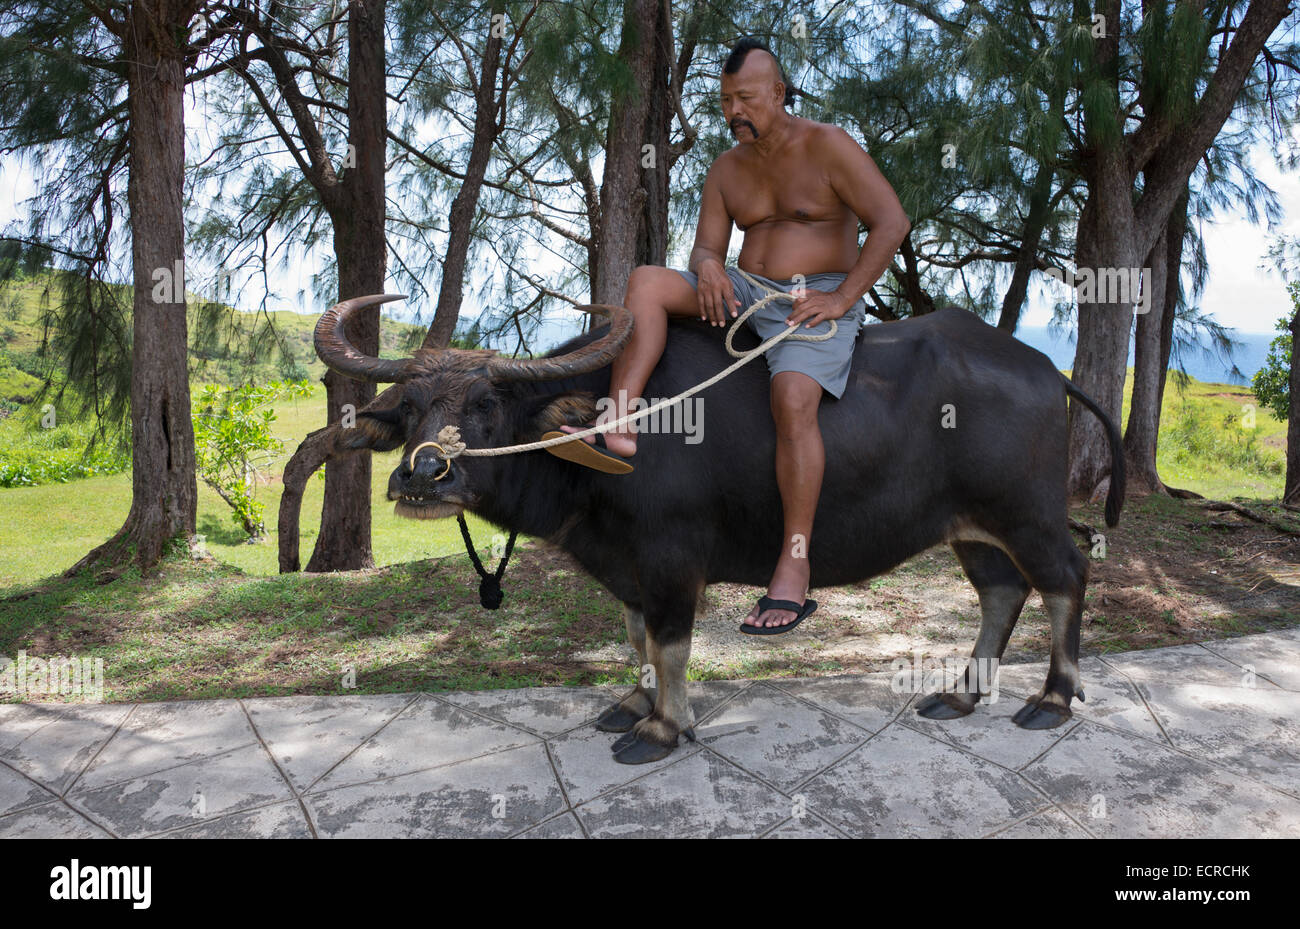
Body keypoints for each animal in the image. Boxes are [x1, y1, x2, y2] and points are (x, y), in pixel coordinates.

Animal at [314, 292, 1118, 763]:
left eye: (486, 404)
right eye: (409, 408)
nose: (423, 476)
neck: (607, 435)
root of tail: (1045, 370)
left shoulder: (674, 557)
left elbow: (671, 642)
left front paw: (665, 727)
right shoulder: (629, 564)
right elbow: (637, 635)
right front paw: (634, 703)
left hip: (1027, 513)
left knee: (1066, 579)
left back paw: (1051, 698)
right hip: (970, 527)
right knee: (1002, 592)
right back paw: (961, 692)